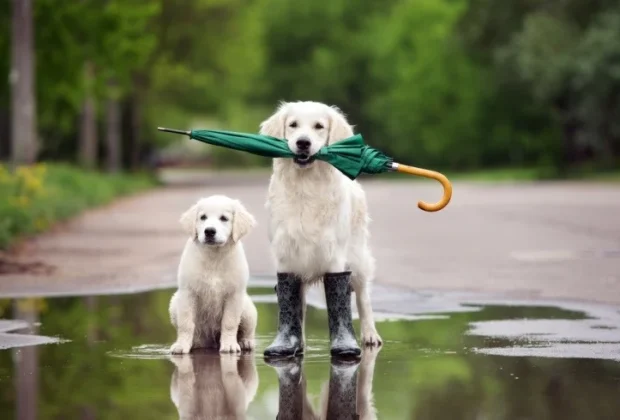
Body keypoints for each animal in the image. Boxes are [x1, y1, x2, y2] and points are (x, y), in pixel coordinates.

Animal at [168, 195, 258, 352]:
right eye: (203, 217)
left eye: (224, 218)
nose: (209, 231)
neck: (214, 257)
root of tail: (210, 343)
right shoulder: (188, 292)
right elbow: (186, 324)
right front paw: (181, 345)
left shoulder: (234, 294)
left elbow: (229, 323)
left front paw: (229, 345)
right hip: (175, 303)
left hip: (247, 308)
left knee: (247, 330)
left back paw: (246, 342)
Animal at [258, 99, 382, 358]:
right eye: (293, 125)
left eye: (319, 126)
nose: (303, 143)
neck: (306, 185)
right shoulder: (286, 254)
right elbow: (291, 302)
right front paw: (290, 343)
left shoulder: (334, 254)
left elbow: (341, 298)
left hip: (358, 257)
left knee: (363, 297)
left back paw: (370, 335)